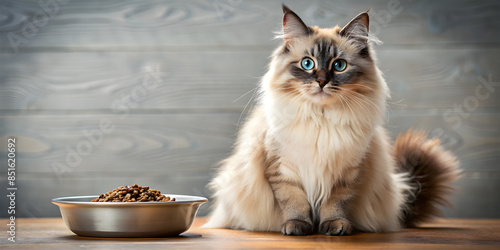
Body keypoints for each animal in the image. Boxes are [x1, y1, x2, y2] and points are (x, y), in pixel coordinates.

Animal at [204, 4, 460, 235]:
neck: (321, 119)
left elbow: (335, 205)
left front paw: (335, 227)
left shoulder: (346, 175)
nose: (321, 81)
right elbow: (294, 203)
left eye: (339, 66)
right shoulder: (283, 171)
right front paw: (297, 227)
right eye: (307, 63)